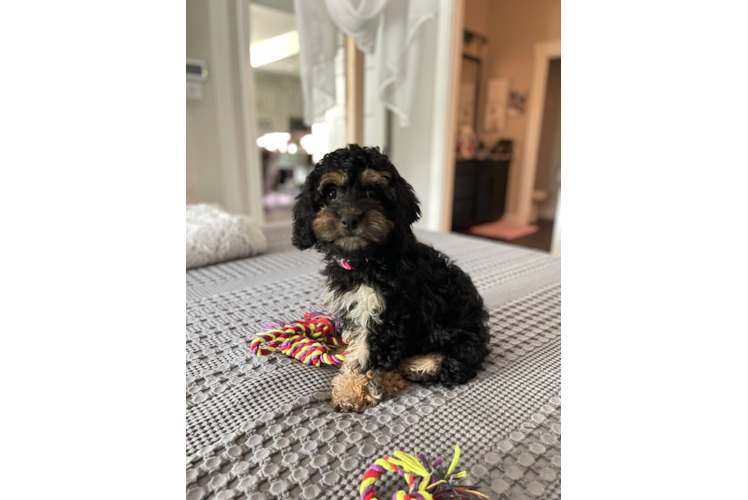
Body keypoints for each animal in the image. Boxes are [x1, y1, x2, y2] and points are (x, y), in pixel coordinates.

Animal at [292, 144, 490, 410]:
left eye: (373, 192)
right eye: (331, 194)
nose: (350, 219)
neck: (366, 260)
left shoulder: (386, 314)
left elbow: (366, 356)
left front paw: (351, 391)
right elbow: (356, 341)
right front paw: (345, 352)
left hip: (457, 343)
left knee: (436, 366)